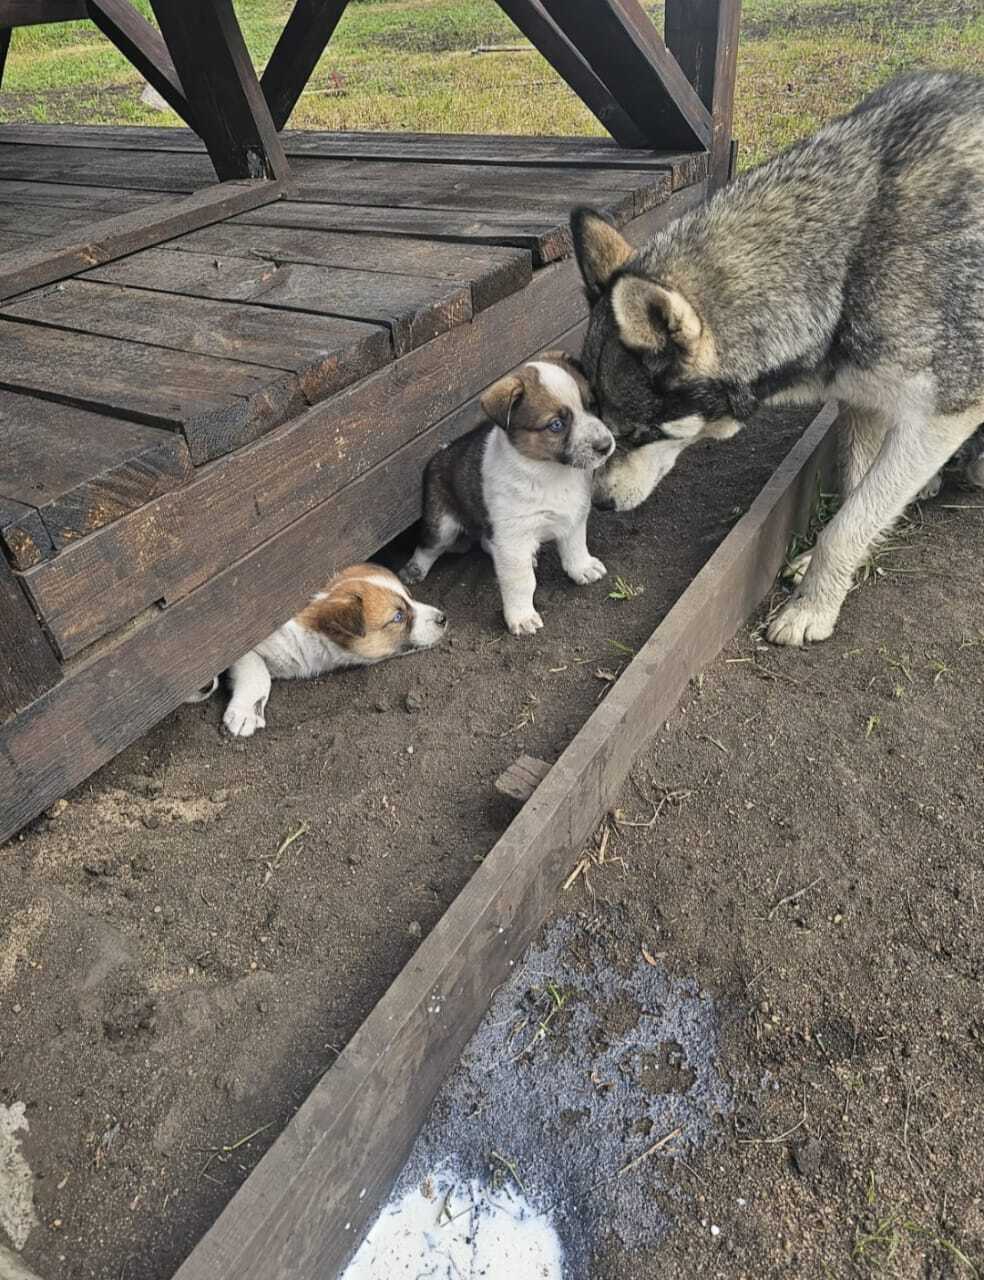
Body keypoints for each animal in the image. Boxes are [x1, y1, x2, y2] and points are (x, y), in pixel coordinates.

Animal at [186, 563, 445, 737]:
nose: (444, 618)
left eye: (410, 597)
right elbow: (259, 674)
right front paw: (246, 712)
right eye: (398, 617)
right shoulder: (244, 647)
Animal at [399, 353, 614, 637]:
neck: (551, 473)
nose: (606, 446)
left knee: (486, 542)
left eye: (591, 405)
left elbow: (575, 547)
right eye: (556, 425)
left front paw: (583, 568)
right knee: (427, 546)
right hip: (442, 524)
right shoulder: (513, 535)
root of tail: (440, 453)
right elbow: (521, 582)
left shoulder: (573, 517)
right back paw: (414, 570)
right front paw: (521, 617)